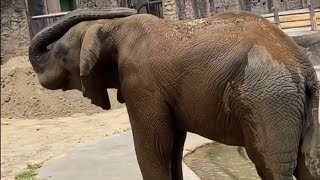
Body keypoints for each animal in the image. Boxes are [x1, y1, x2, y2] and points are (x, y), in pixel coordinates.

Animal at [28, 7, 320, 180]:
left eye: (61, 54)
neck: (115, 28)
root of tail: (304, 67)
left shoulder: (141, 83)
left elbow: (154, 148)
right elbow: (173, 148)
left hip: (268, 101)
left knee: (271, 166)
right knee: (306, 166)